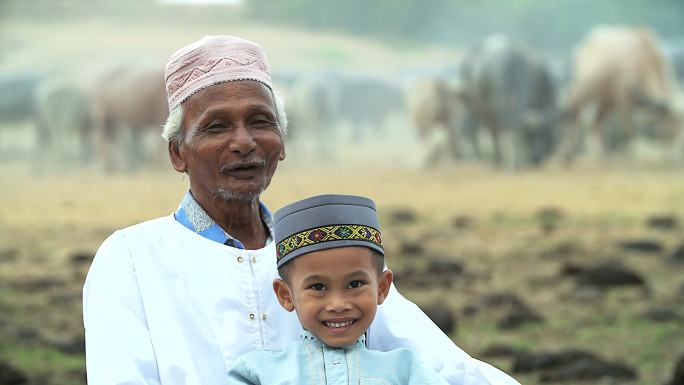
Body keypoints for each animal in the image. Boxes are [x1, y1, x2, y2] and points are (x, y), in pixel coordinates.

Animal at [560, 25, 680, 160]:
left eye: (680, 127)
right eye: (669, 127)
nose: (675, 155)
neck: (644, 57)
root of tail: (586, 43)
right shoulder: (623, 101)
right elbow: (629, 130)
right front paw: (630, 156)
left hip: (606, 101)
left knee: (595, 123)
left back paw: (603, 156)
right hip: (586, 87)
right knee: (574, 108)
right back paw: (568, 153)